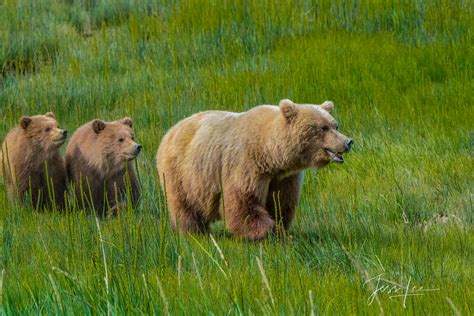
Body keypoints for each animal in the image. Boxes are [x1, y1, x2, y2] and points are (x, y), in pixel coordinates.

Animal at [157, 100, 354, 241]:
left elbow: (280, 203)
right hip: (182, 173)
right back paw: (193, 232)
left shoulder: (283, 177)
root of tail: (171, 130)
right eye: (323, 127)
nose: (348, 142)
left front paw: (281, 230)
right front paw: (268, 233)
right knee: (185, 205)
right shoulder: (246, 165)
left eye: (335, 125)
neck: (270, 154)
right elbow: (244, 202)